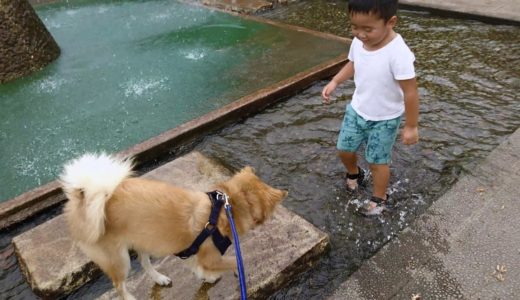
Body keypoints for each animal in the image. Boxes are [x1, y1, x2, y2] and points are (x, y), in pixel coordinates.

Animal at [62, 154, 288, 298]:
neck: (227, 208)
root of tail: (85, 200)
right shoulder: (211, 255)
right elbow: (236, 261)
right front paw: (235, 272)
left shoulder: (192, 251)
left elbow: (197, 266)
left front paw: (207, 276)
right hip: (118, 259)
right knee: (119, 285)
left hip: (144, 239)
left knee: (144, 263)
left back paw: (160, 278)